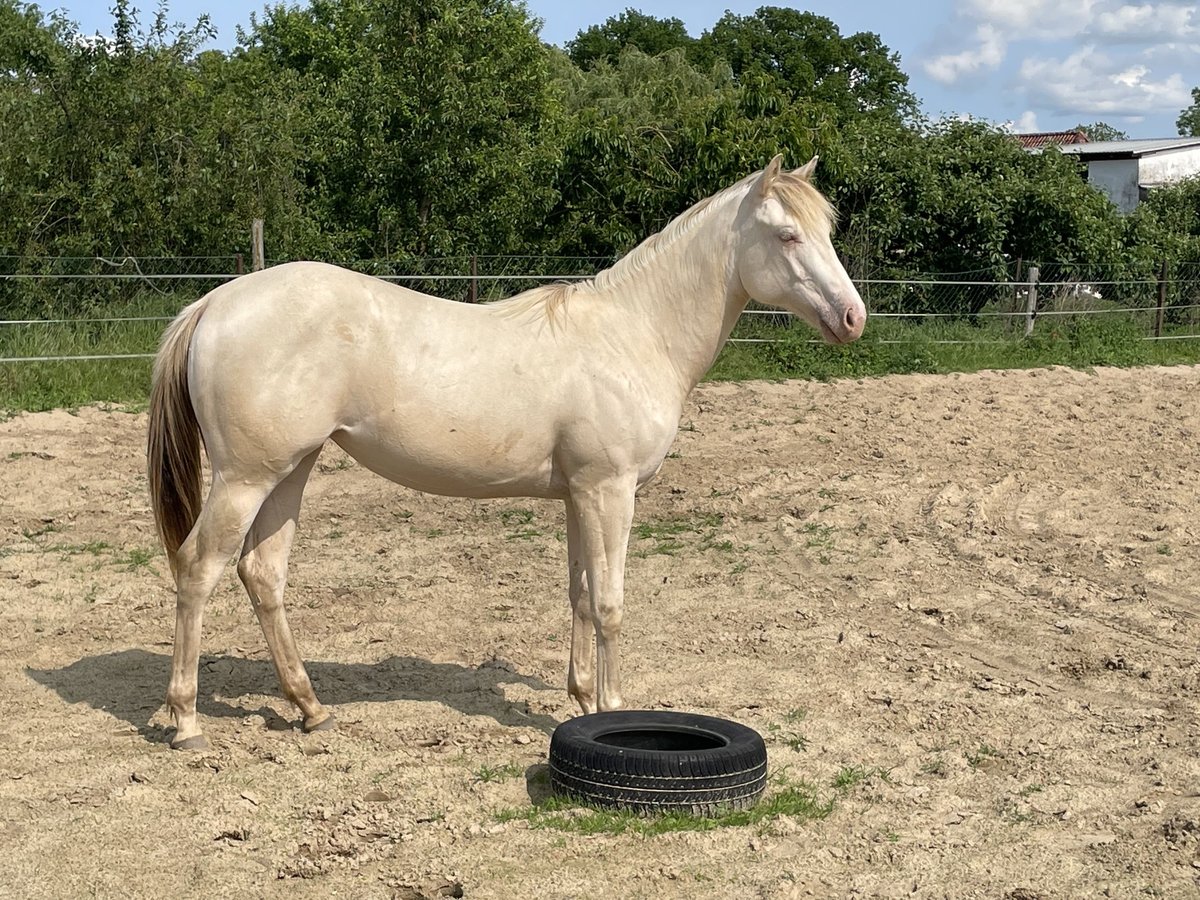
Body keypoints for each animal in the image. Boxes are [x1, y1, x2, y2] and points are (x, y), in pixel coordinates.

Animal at [147, 155, 867, 750]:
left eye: (827, 231)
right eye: (788, 235)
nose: (853, 318)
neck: (633, 333)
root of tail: (215, 301)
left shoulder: (580, 494)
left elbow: (580, 594)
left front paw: (582, 701)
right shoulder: (610, 491)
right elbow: (610, 603)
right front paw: (613, 709)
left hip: (289, 471)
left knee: (262, 574)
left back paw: (310, 708)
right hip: (245, 478)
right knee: (198, 569)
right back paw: (186, 721)